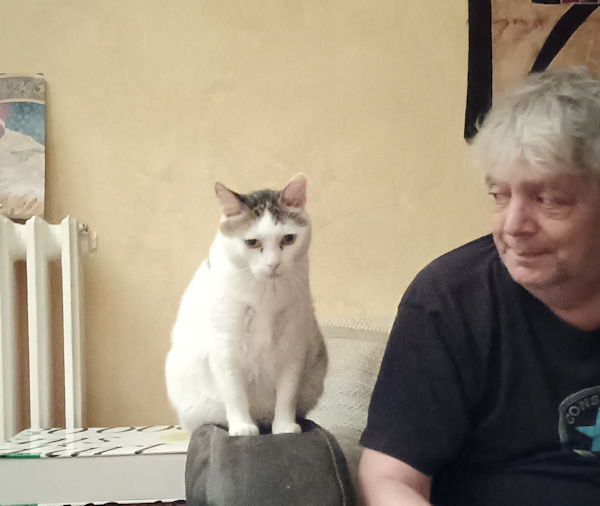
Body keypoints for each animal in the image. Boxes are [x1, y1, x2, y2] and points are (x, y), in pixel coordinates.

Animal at [165, 173, 328, 436]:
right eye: (252, 242)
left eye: (289, 239)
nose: (273, 264)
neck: (266, 294)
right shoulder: (225, 348)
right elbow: (235, 393)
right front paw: (242, 427)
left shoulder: (293, 348)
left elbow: (287, 394)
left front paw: (284, 427)